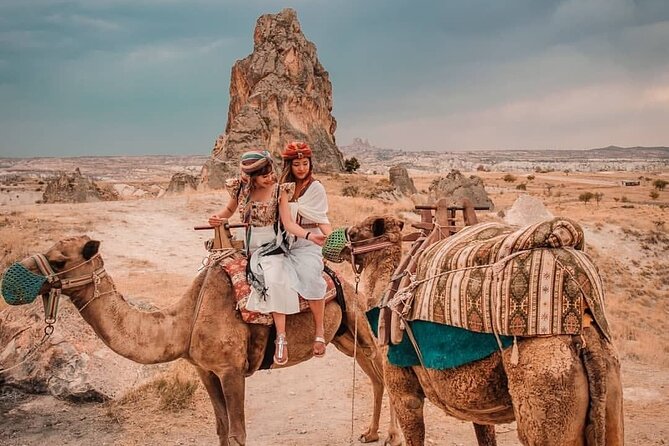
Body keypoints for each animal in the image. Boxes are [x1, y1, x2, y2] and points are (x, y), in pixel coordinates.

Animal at [17, 235, 403, 446]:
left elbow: (237, 433)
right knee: (374, 375)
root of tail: (341, 277)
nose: (18, 273)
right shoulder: (205, 370)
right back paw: (370, 433)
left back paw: (392, 436)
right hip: (341, 336)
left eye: (57, 260)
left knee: (383, 366)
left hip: (357, 318)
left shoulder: (231, 370)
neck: (185, 321)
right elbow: (220, 431)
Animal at [342, 215, 625, 446]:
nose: (341, 246)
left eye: (354, 234)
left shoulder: (403, 388)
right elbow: (485, 435)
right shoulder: (476, 404)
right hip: (608, 388)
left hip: (545, 388)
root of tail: (585, 330)